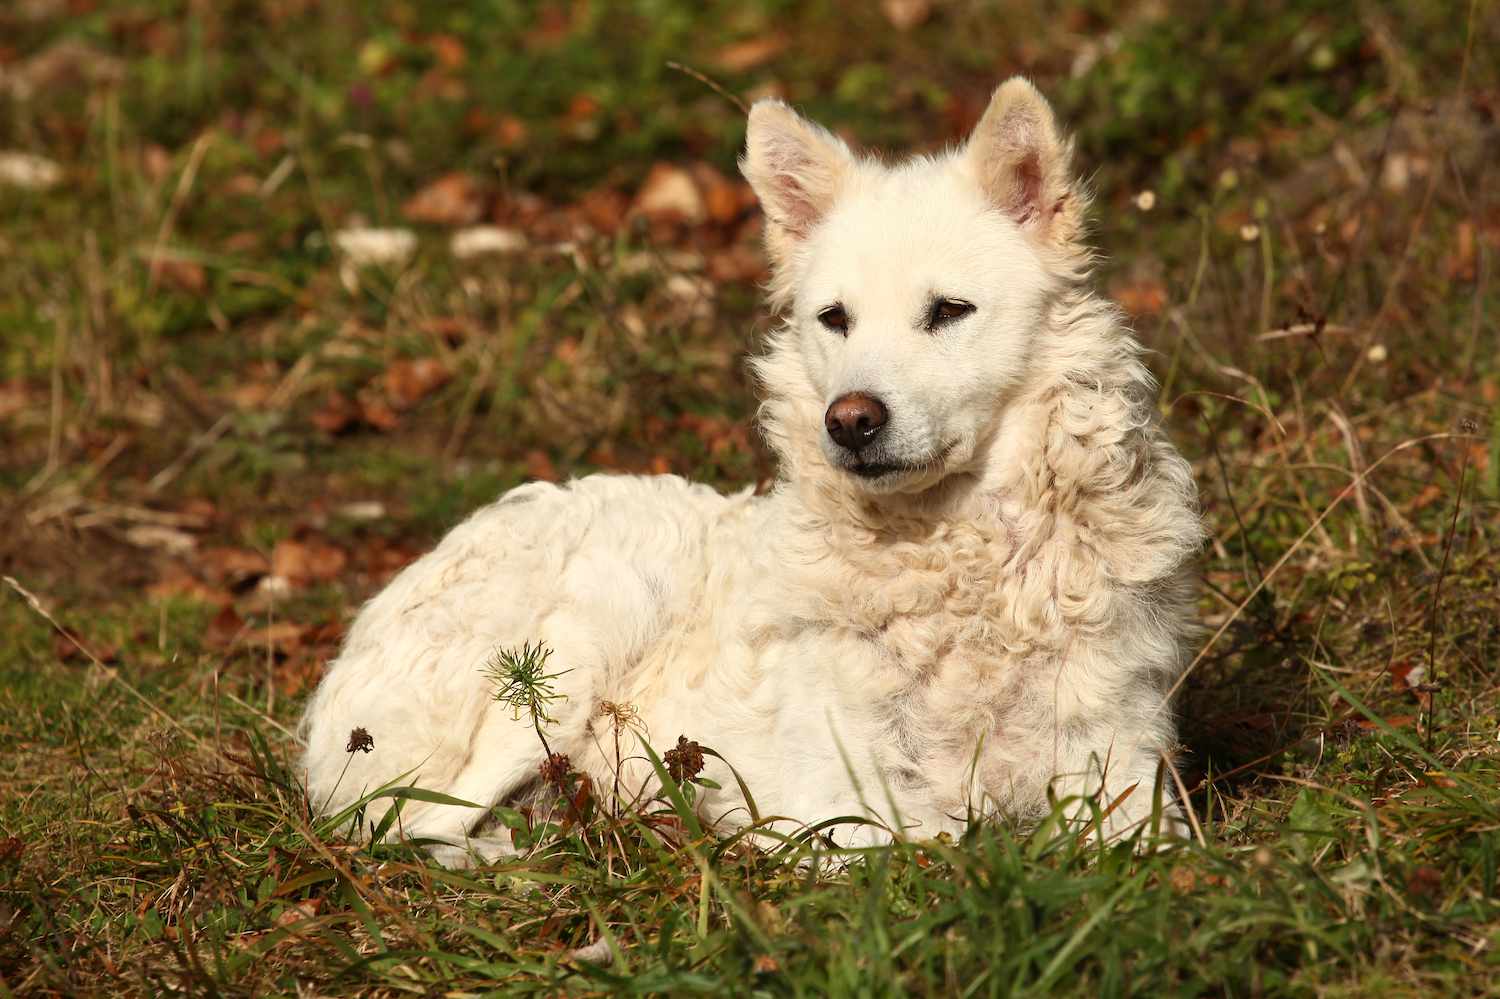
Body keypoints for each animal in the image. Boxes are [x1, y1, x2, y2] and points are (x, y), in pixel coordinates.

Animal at [298, 78, 1200, 858]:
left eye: (949, 311)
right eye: (834, 318)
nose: (851, 421)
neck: (961, 560)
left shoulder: (1123, 774)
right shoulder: (842, 806)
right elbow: (927, 849)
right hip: (586, 631)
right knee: (411, 827)